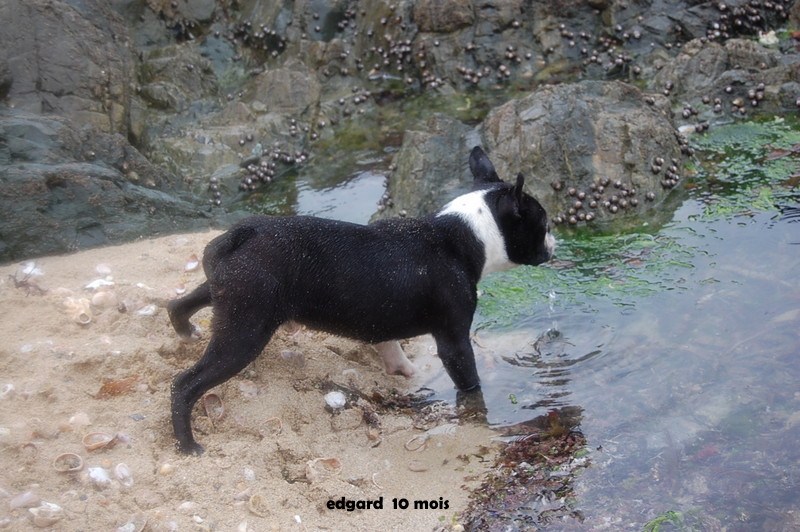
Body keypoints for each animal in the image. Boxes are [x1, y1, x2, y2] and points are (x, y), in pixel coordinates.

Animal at [168, 146, 555, 454]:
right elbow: (469, 381)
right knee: (186, 385)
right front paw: (476, 408)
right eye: (545, 224)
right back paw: (187, 444)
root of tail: (244, 232)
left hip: (227, 291)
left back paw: (186, 330)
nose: (554, 243)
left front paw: (402, 369)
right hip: (246, 326)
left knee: (180, 303)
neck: (462, 235)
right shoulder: (454, 340)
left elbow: (390, 345)